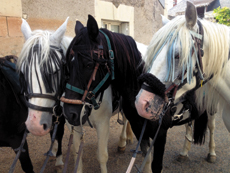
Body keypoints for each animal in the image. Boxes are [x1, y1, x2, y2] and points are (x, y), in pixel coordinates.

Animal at [18, 17, 133, 172]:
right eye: (23, 72)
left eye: (55, 71)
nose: (34, 125)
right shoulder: (72, 124)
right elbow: (77, 154)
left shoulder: (103, 124)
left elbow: (102, 156)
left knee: (126, 119)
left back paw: (122, 142)